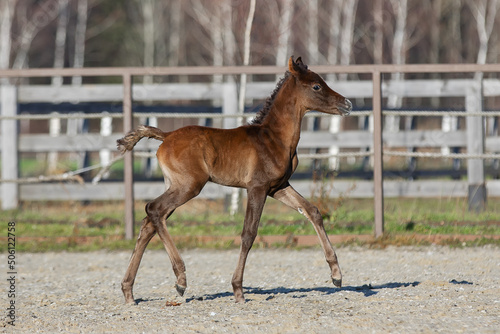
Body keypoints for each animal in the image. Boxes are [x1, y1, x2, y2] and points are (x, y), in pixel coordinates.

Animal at [117, 56, 352, 304]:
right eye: (316, 86)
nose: (347, 104)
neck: (274, 138)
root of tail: (167, 136)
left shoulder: (278, 187)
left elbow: (312, 211)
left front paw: (336, 275)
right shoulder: (257, 187)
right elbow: (249, 233)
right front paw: (238, 289)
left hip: (175, 185)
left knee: (150, 222)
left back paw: (129, 291)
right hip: (189, 186)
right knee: (153, 209)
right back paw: (180, 280)